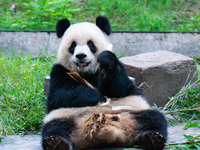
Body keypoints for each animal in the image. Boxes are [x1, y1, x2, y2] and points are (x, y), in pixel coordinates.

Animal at [41, 16, 168, 150]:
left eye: (90, 44)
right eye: (73, 45)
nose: (81, 55)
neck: (86, 73)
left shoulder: (120, 69)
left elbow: (120, 87)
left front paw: (106, 63)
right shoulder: (60, 71)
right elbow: (60, 94)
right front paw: (98, 97)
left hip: (135, 110)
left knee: (154, 119)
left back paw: (151, 138)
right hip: (64, 116)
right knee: (54, 127)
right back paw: (56, 142)